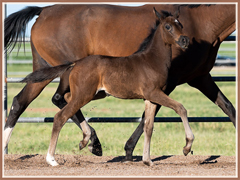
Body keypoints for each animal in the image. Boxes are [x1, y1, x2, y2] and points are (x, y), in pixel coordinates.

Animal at [22, 8, 191, 166]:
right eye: (168, 26)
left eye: (181, 25)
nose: (185, 40)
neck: (151, 61)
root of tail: (76, 63)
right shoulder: (154, 93)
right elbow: (180, 108)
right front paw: (187, 146)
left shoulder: (150, 98)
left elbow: (148, 127)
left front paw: (147, 160)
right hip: (85, 94)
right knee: (60, 117)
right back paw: (52, 159)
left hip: (93, 94)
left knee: (67, 99)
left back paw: (86, 140)